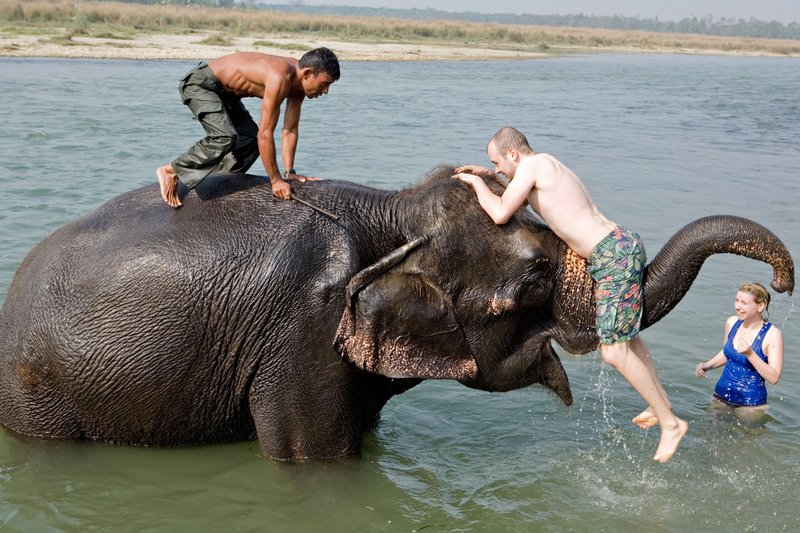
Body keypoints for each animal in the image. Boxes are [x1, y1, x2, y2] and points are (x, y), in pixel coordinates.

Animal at [0, 168, 792, 460]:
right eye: (534, 281)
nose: (781, 281)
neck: (387, 207)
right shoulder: (302, 330)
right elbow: (312, 458)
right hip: (42, 392)